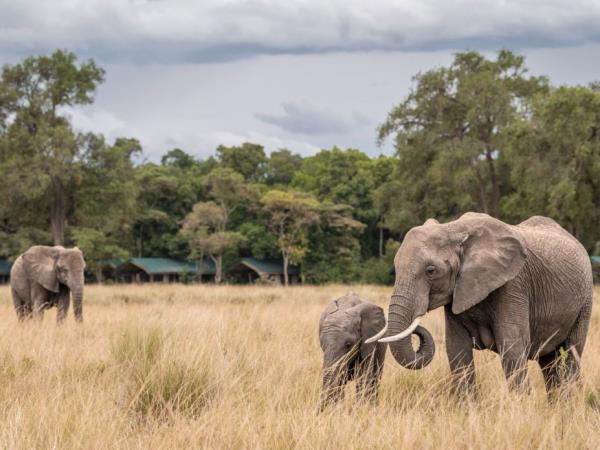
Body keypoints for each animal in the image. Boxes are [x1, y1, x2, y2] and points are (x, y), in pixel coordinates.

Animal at [368, 214, 592, 394]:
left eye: (431, 271)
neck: (454, 229)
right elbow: (457, 348)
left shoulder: (514, 285)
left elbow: (512, 346)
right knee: (549, 363)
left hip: (586, 300)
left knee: (571, 355)